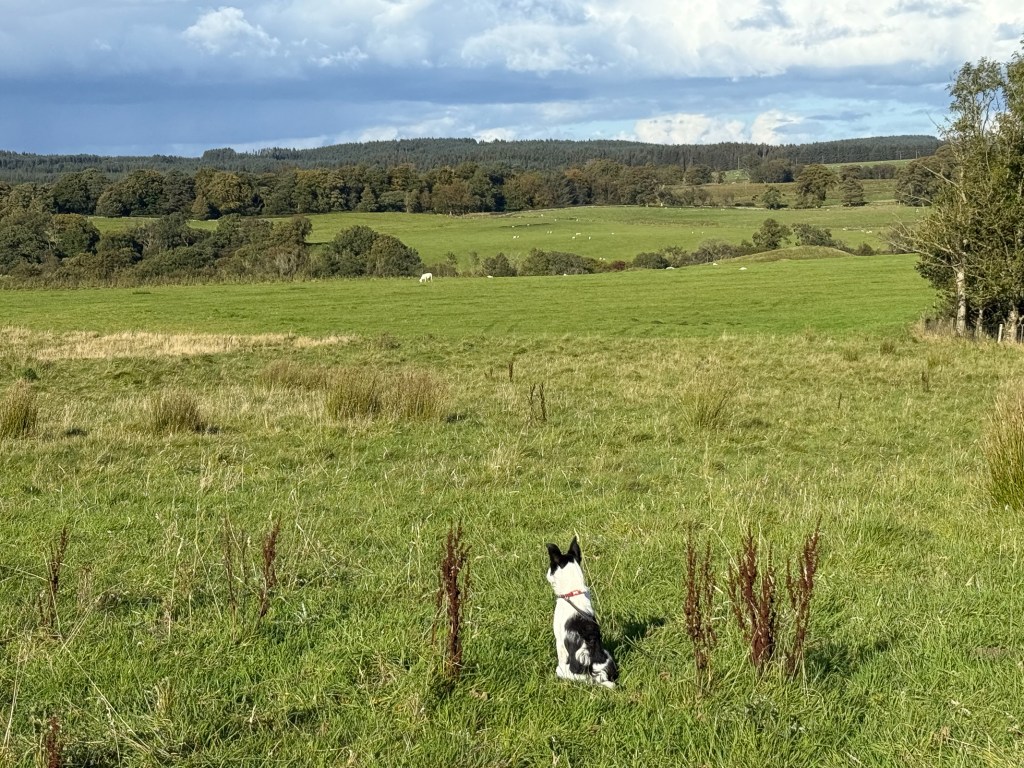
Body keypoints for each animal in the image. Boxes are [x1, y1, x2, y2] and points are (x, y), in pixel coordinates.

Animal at [545, 536, 618, 688]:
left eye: (551, 568)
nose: (546, 574)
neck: (573, 592)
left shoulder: (559, 641)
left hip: (563, 671)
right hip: (607, 656)